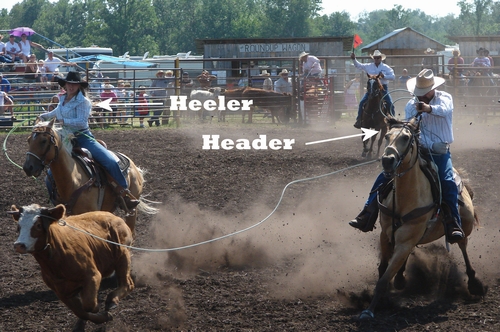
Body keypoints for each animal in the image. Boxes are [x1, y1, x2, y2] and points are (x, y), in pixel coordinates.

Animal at [22, 119, 156, 236]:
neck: (73, 180)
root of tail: (133, 165)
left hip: (132, 209)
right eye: (28, 140)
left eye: (43, 140)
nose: (28, 167)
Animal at [360, 116, 488, 320]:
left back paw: (474, 283)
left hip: (464, 228)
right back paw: (400, 278)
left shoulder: (406, 241)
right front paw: (381, 300)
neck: (404, 197)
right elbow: (382, 271)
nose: (387, 160)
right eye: (387, 136)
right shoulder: (386, 235)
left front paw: (369, 310)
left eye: (405, 137)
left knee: (463, 247)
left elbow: (384, 279)